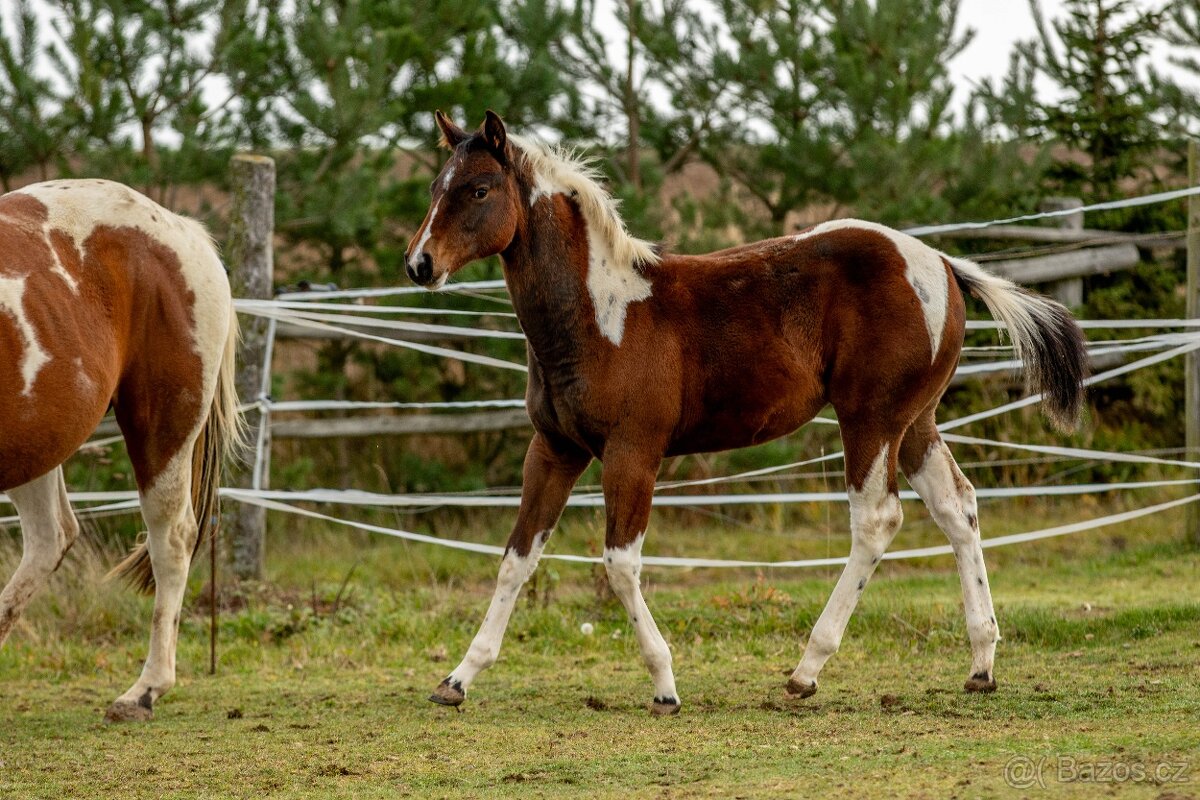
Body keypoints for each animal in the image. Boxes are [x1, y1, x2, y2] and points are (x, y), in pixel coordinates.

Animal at [0, 179, 241, 721]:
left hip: (162, 428)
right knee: (51, 538)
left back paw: (144, 691)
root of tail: (180, 229)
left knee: (171, 540)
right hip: (36, 439)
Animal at [405, 111, 1087, 716]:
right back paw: (980, 664)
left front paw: (665, 685)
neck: (599, 316)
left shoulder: (633, 452)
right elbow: (515, 560)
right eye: (436, 187)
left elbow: (620, 565)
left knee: (877, 520)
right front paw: (458, 678)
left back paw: (806, 671)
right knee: (958, 508)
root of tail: (944, 265)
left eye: (479, 189)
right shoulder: (554, 449)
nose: (419, 264)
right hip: (913, 422)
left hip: (869, 420)